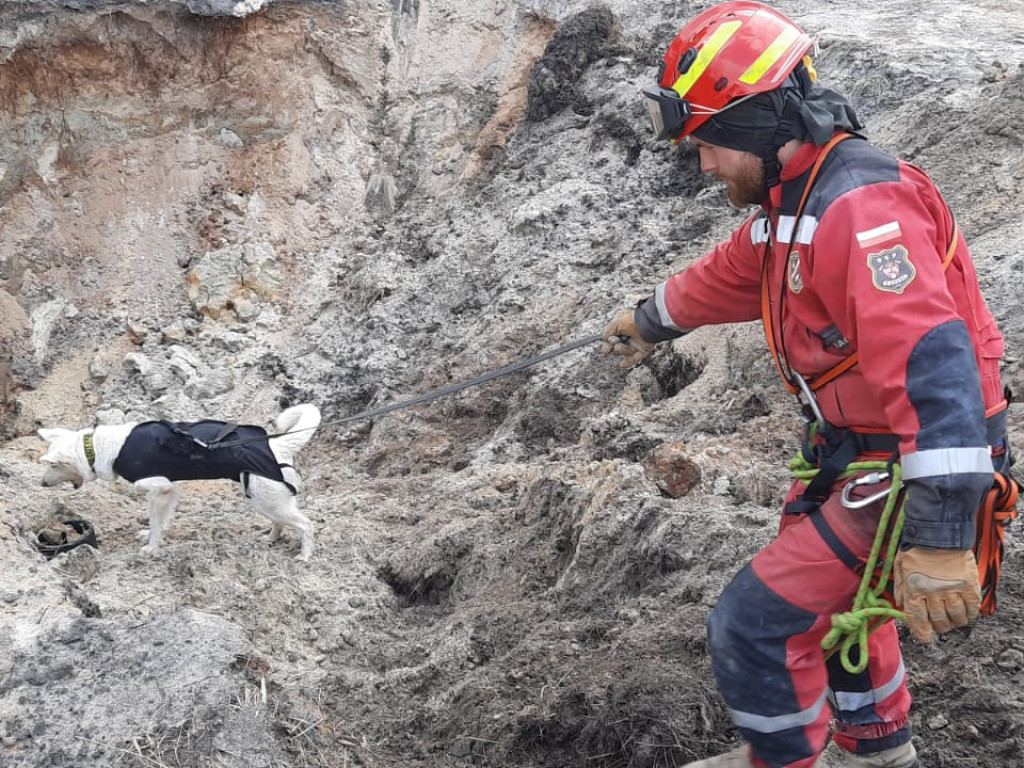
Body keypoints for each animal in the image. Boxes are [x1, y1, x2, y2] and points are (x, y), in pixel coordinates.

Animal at [38, 405, 319, 561]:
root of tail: (278, 444)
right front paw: (153, 536)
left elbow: (154, 520)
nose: (41, 483)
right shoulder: (171, 488)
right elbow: (163, 519)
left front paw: (152, 546)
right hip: (264, 498)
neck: (97, 448)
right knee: (280, 522)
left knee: (306, 525)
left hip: (268, 500)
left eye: (53, 466)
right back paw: (271, 538)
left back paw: (305, 556)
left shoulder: (158, 488)